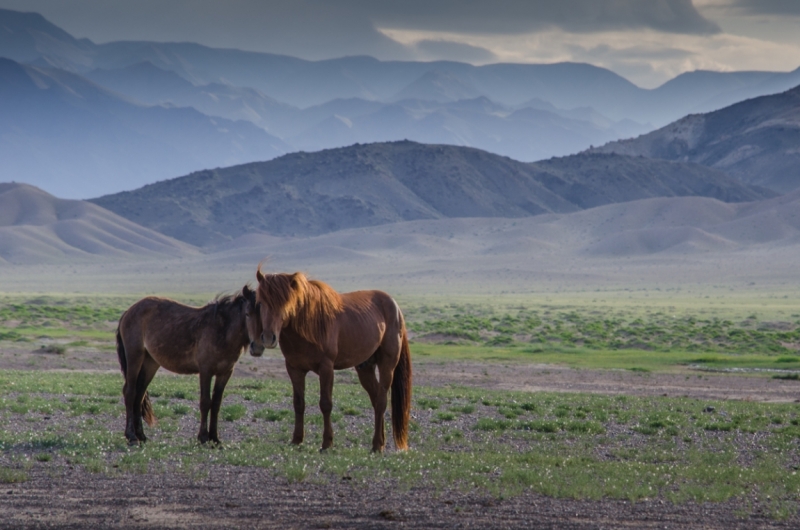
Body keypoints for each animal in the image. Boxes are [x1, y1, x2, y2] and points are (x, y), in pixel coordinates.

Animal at [115, 284, 262, 442]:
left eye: (264, 312)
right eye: (247, 313)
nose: (258, 347)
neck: (222, 330)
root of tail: (128, 312)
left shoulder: (225, 373)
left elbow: (216, 403)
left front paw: (215, 439)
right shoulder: (206, 371)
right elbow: (205, 402)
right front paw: (203, 437)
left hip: (150, 363)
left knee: (139, 395)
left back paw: (141, 435)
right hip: (134, 356)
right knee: (130, 392)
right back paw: (131, 436)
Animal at [256, 266, 412, 452]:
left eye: (285, 302)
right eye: (260, 302)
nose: (268, 338)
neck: (309, 325)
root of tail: (395, 306)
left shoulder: (326, 368)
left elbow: (325, 404)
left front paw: (327, 443)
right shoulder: (294, 369)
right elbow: (298, 403)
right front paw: (297, 439)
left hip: (387, 365)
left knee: (381, 401)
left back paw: (376, 446)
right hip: (365, 368)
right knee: (376, 399)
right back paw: (380, 442)